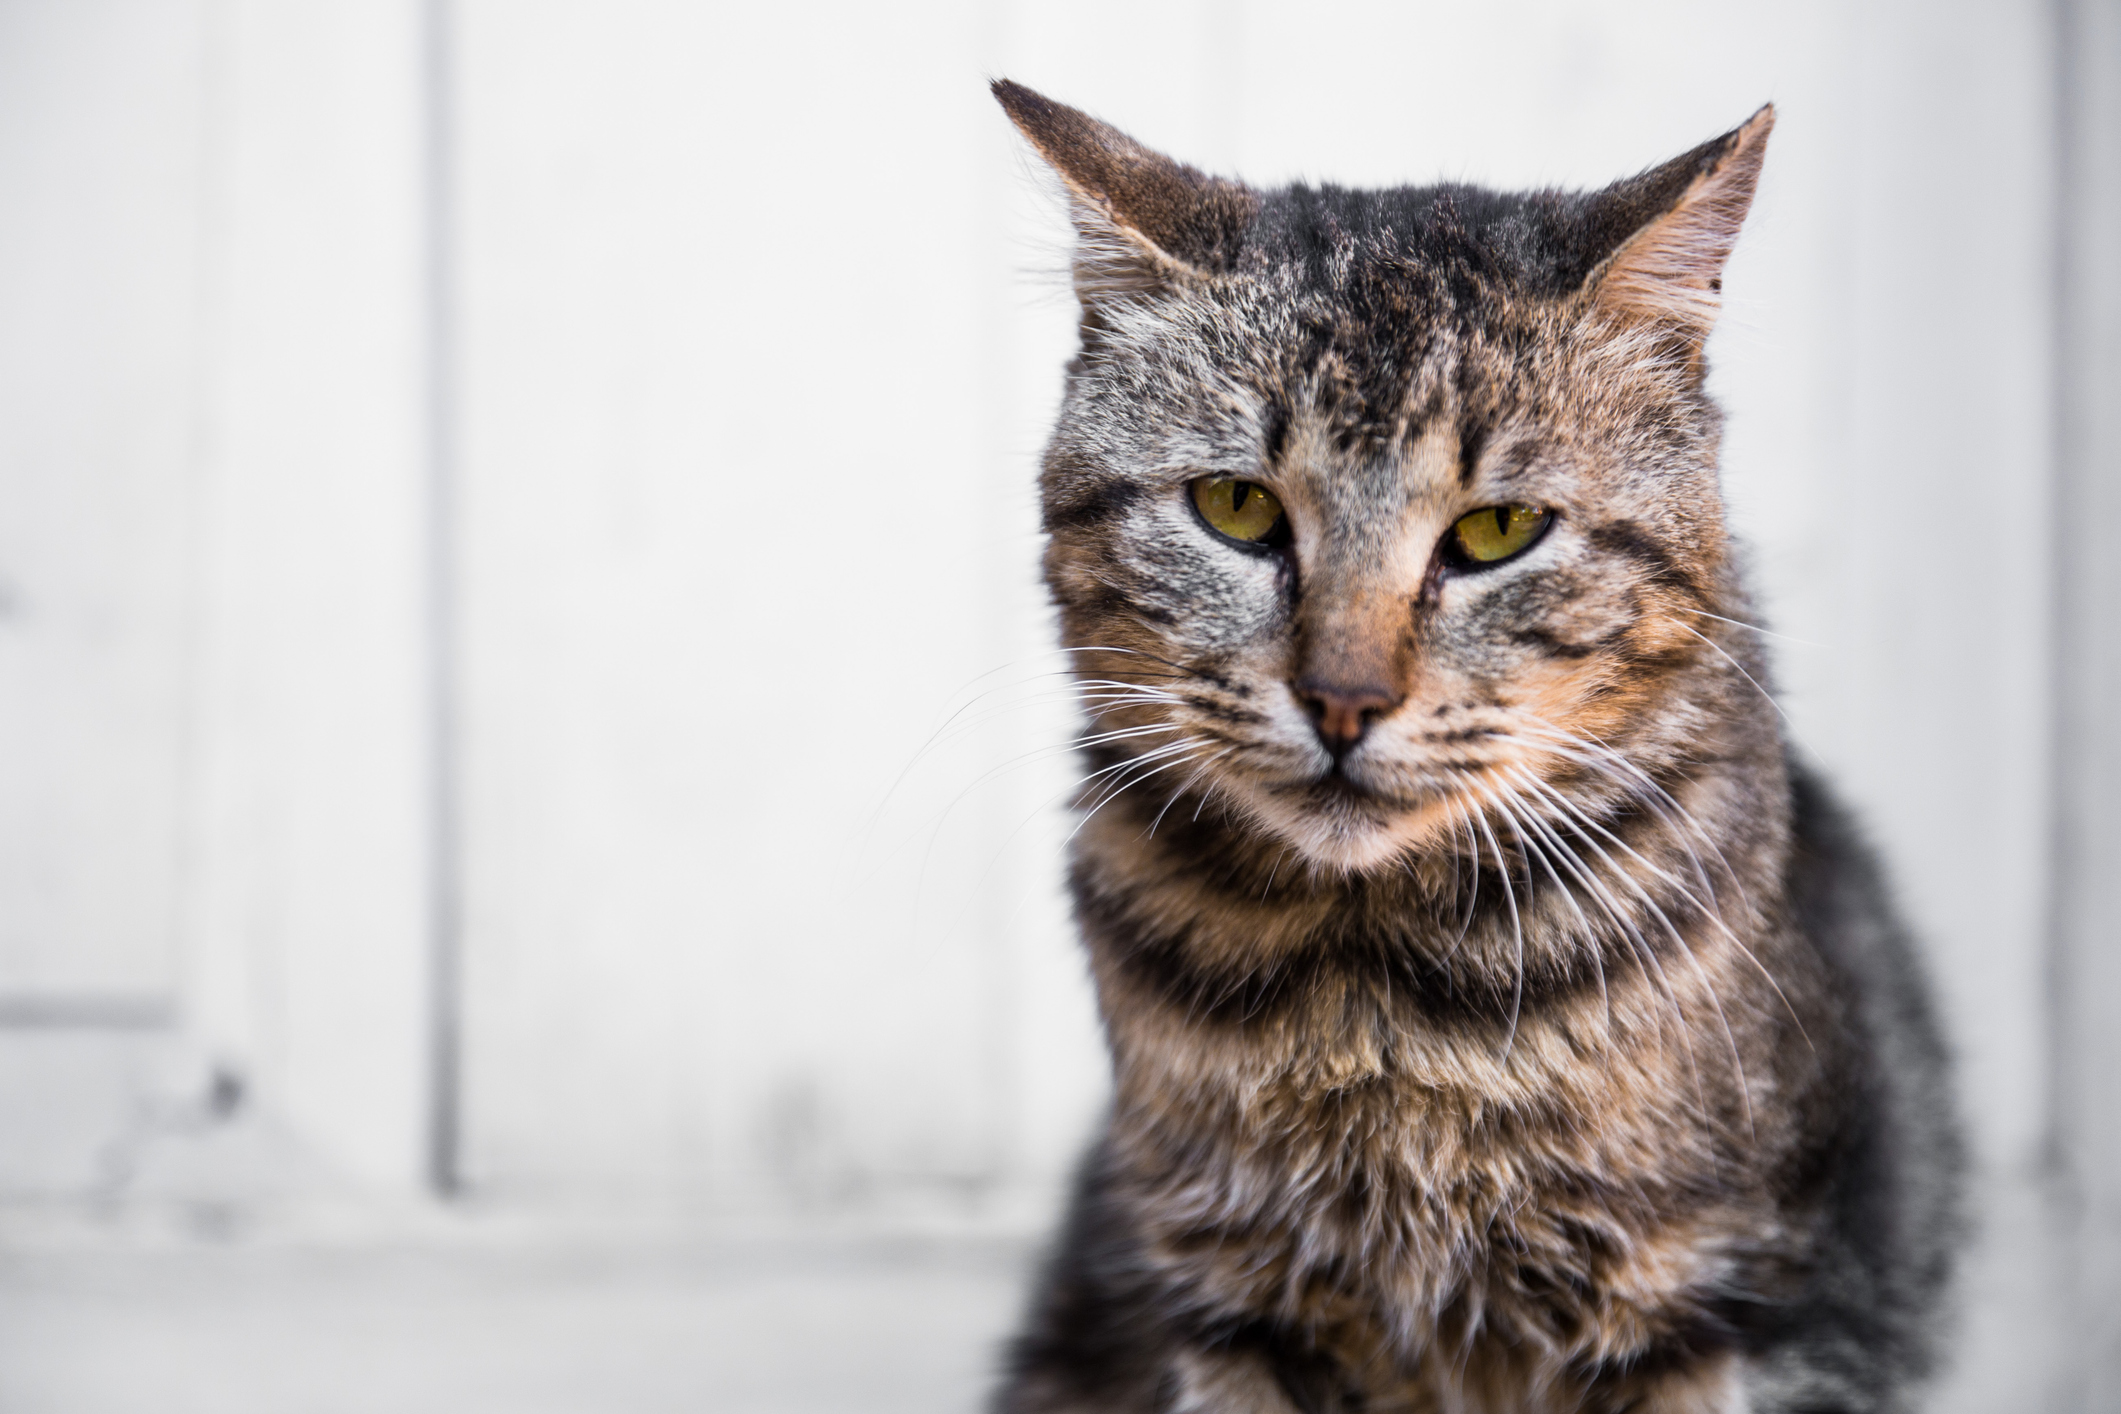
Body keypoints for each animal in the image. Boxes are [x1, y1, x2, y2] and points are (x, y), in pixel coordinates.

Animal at [984, 85, 1959, 1414]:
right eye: (1237, 508)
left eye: (1498, 530)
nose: (1343, 699)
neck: (1373, 1001)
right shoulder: (1230, 1293)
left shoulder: (1719, 1288)